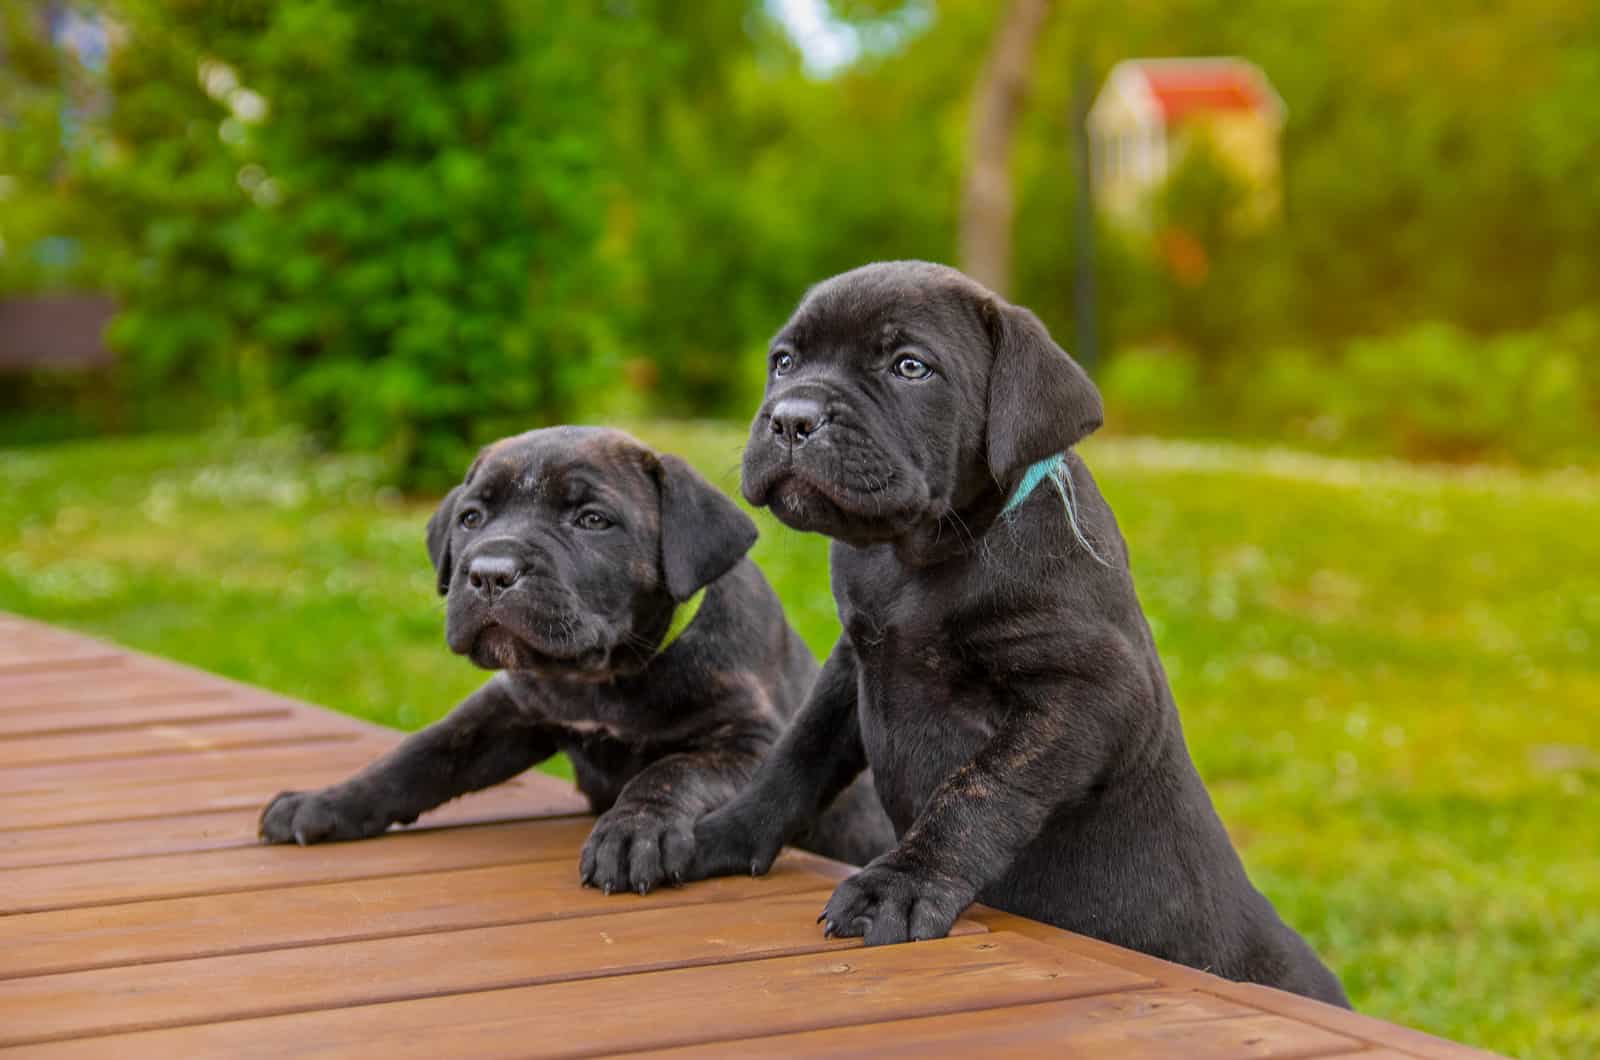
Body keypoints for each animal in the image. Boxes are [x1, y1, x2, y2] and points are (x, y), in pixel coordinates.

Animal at [256, 429, 896, 890]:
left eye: (592, 520)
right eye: (471, 518)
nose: (489, 573)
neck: (605, 677)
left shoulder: (750, 737)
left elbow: (670, 770)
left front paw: (631, 833)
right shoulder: (510, 713)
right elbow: (418, 756)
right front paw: (328, 801)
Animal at [675, 260, 1350, 1011]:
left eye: (911, 366)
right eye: (784, 361)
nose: (792, 418)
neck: (920, 554)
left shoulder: (1085, 691)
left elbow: (978, 790)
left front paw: (902, 885)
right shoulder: (853, 662)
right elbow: (800, 752)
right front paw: (725, 832)